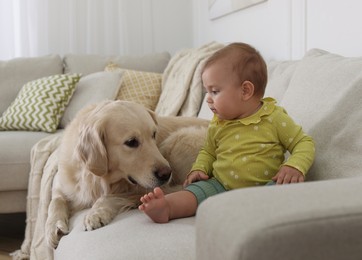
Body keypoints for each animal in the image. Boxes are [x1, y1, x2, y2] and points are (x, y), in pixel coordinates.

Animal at [45, 99, 209, 248]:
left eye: (154, 134)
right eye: (131, 142)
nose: (166, 174)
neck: (97, 178)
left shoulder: (145, 188)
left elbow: (108, 197)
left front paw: (96, 213)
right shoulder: (62, 183)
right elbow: (55, 201)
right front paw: (53, 227)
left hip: (177, 140)